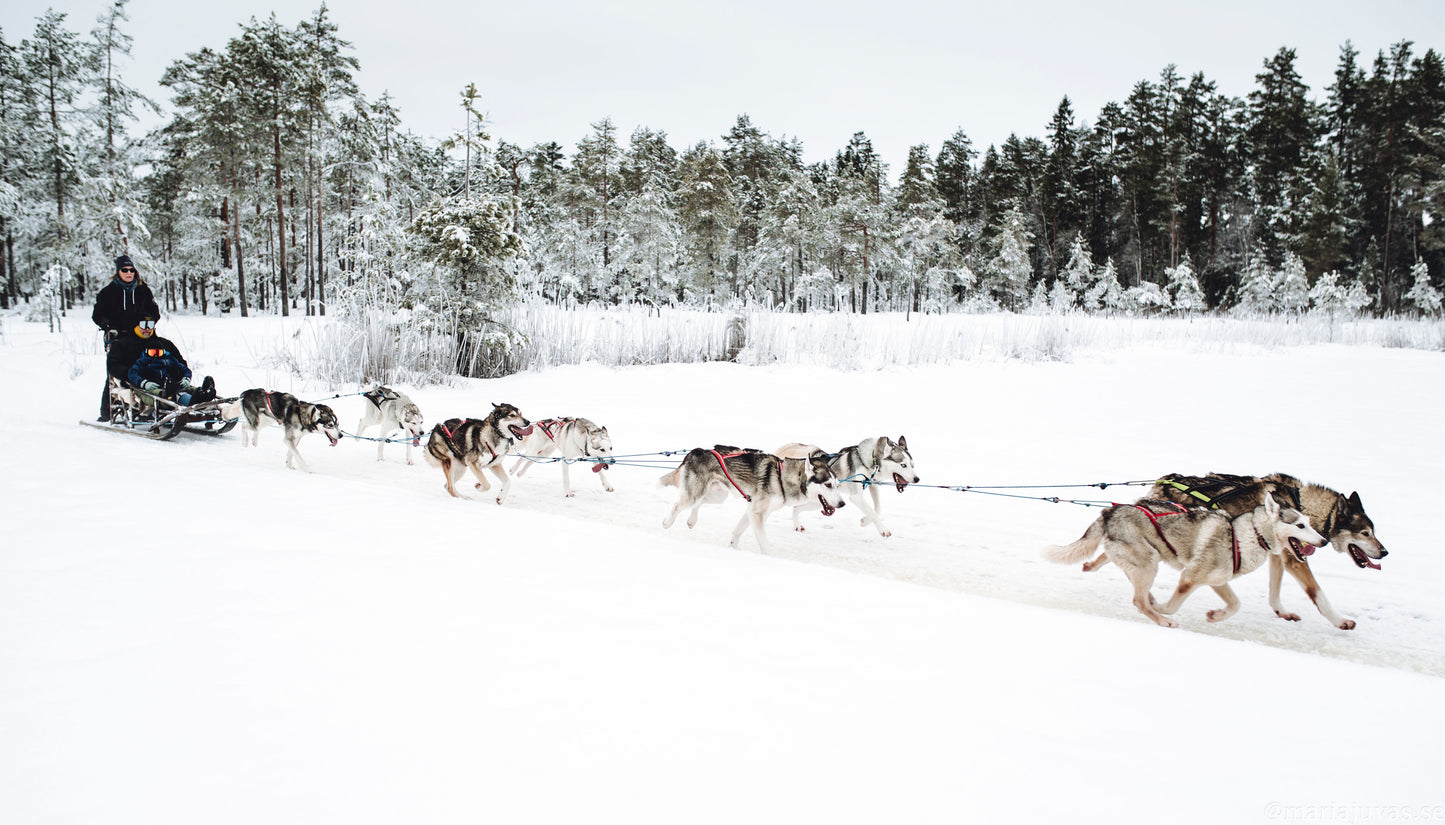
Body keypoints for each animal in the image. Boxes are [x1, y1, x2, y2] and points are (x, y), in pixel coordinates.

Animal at [658, 445, 843, 554]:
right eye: (827, 485)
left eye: (837, 485)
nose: (842, 504)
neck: (783, 477)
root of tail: (695, 452)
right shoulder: (757, 513)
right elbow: (765, 544)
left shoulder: (755, 512)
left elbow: (737, 531)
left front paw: (734, 547)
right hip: (695, 494)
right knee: (679, 504)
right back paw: (667, 522)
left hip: (718, 496)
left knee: (699, 503)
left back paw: (691, 520)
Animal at [774, 436, 919, 540]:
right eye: (903, 465)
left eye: (912, 465)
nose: (917, 479)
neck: (868, 460)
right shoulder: (856, 496)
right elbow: (872, 511)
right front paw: (883, 529)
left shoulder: (871, 484)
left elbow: (877, 508)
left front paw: (865, 521)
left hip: (819, 501)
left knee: (796, 508)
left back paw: (797, 525)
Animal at [1046, 494, 1323, 629]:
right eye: (1300, 525)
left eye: (1309, 523)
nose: (1322, 541)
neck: (1245, 536)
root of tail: (1111, 510)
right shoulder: (1189, 577)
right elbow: (1171, 606)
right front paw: (1162, 610)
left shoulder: (1217, 581)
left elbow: (1235, 605)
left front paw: (1215, 616)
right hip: (1149, 563)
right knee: (1138, 600)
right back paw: (1159, 617)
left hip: (1148, 556)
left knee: (1108, 559)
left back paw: (1093, 566)